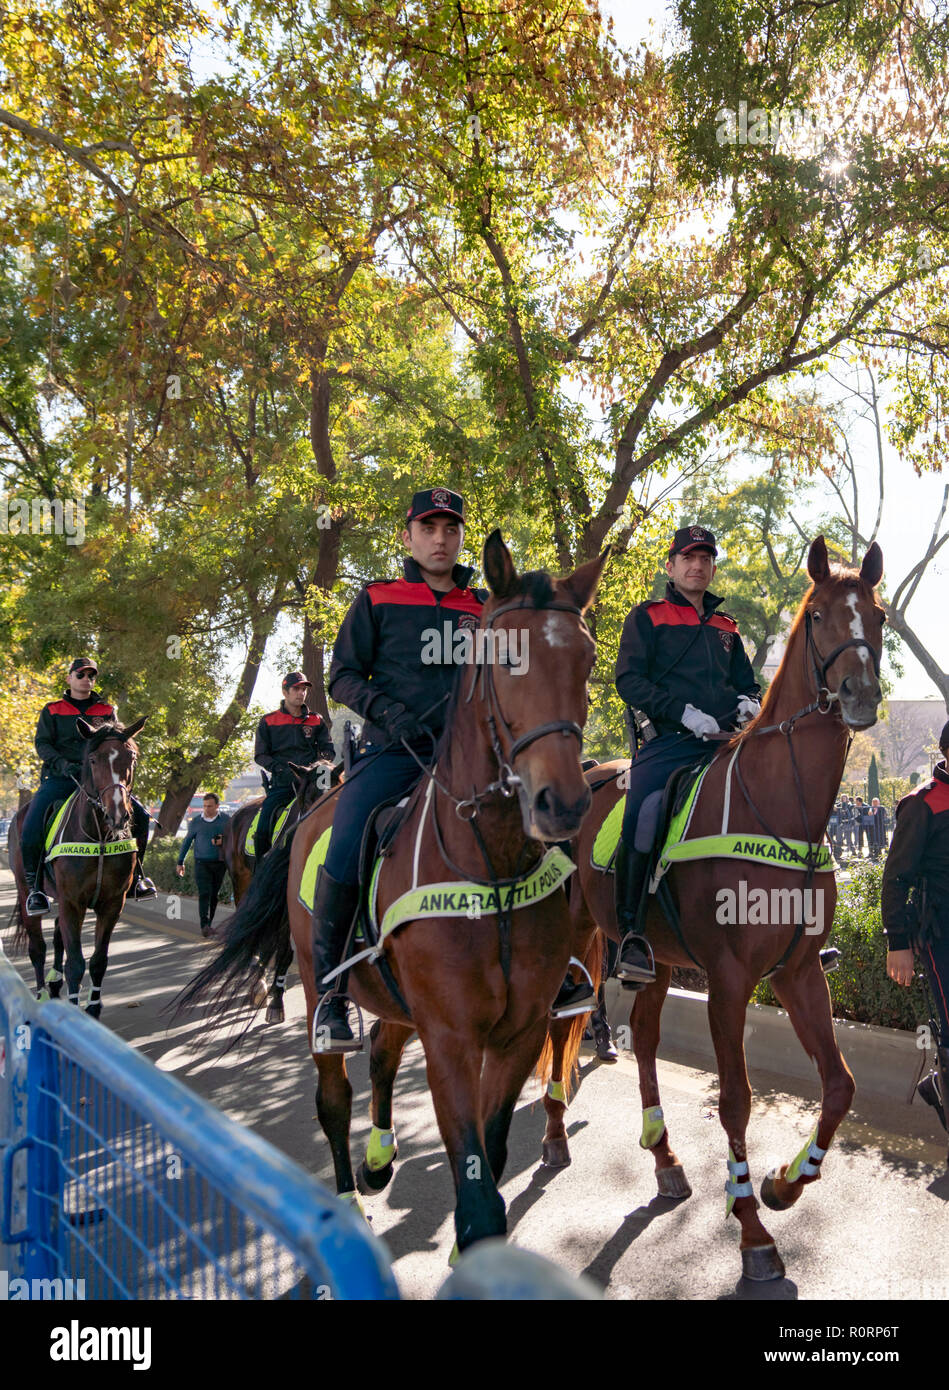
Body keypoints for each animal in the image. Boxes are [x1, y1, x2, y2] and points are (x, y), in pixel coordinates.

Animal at [8, 717, 148, 1023]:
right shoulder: (72, 902)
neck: (99, 837)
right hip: (27, 893)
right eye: (93, 760)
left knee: (57, 935)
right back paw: (40, 996)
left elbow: (98, 961)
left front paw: (93, 1008)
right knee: (38, 948)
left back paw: (54, 983)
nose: (118, 815)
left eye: (131, 757)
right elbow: (75, 962)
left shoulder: (111, 904)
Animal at [539, 536, 889, 1284]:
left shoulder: (798, 973)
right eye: (819, 614)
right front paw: (751, 1228)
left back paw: (663, 1155)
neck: (780, 805)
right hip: (574, 938)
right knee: (562, 1025)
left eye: (876, 616)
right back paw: (554, 1132)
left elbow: (839, 1087)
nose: (859, 695)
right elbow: (735, 1101)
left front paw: (784, 1184)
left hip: (657, 957)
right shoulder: (730, 981)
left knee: (643, 1037)